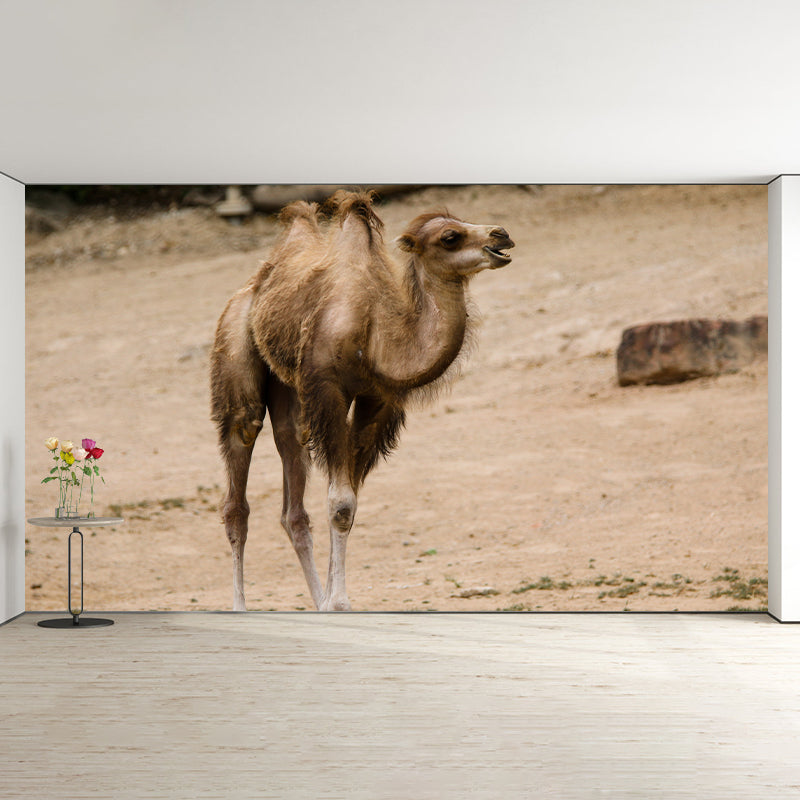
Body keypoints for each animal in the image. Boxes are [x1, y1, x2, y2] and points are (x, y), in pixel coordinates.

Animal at [210, 190, 514, 611]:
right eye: (450, 237)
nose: (501, 235)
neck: (375, 339)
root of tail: (255, 282)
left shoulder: (376, 400)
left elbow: (348, 501)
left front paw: (331, 603)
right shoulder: (329, 392)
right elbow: (340, 503)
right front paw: (339, 603)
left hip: (289, 388)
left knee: (292, 485)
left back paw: (315, 599)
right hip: (236, 348)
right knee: (239, 475)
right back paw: (240, 607)